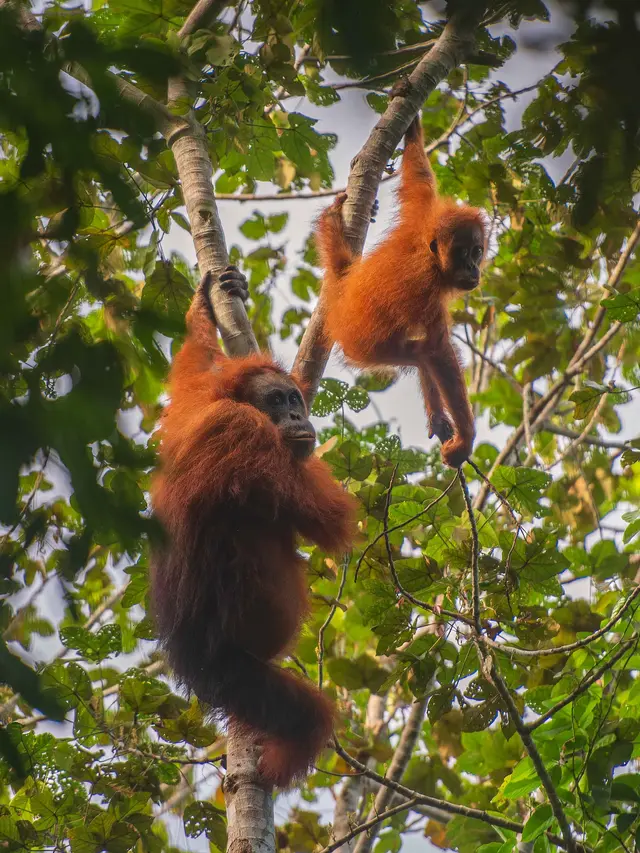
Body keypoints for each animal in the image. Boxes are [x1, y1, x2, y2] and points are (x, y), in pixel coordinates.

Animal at [150, 268, 358, 787]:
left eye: (294, 398)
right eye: (279, 401)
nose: (299, 414)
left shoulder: (196, 406)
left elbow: (190, 372)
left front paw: (207, 301)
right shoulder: (248, 436)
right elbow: (329, 517)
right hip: (230, 673)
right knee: (306, 713)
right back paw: (279, 763)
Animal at [315, 114, 488, 468]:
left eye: (476, 251)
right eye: (461, 253)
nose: (472, 269)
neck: (430, 256)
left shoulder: (423, 215)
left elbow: (419, 179)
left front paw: (413, 128)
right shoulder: (424, 288)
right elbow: (438, 349)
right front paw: (465, 442)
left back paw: (437, 417)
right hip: (366, 348)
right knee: (423, 352)